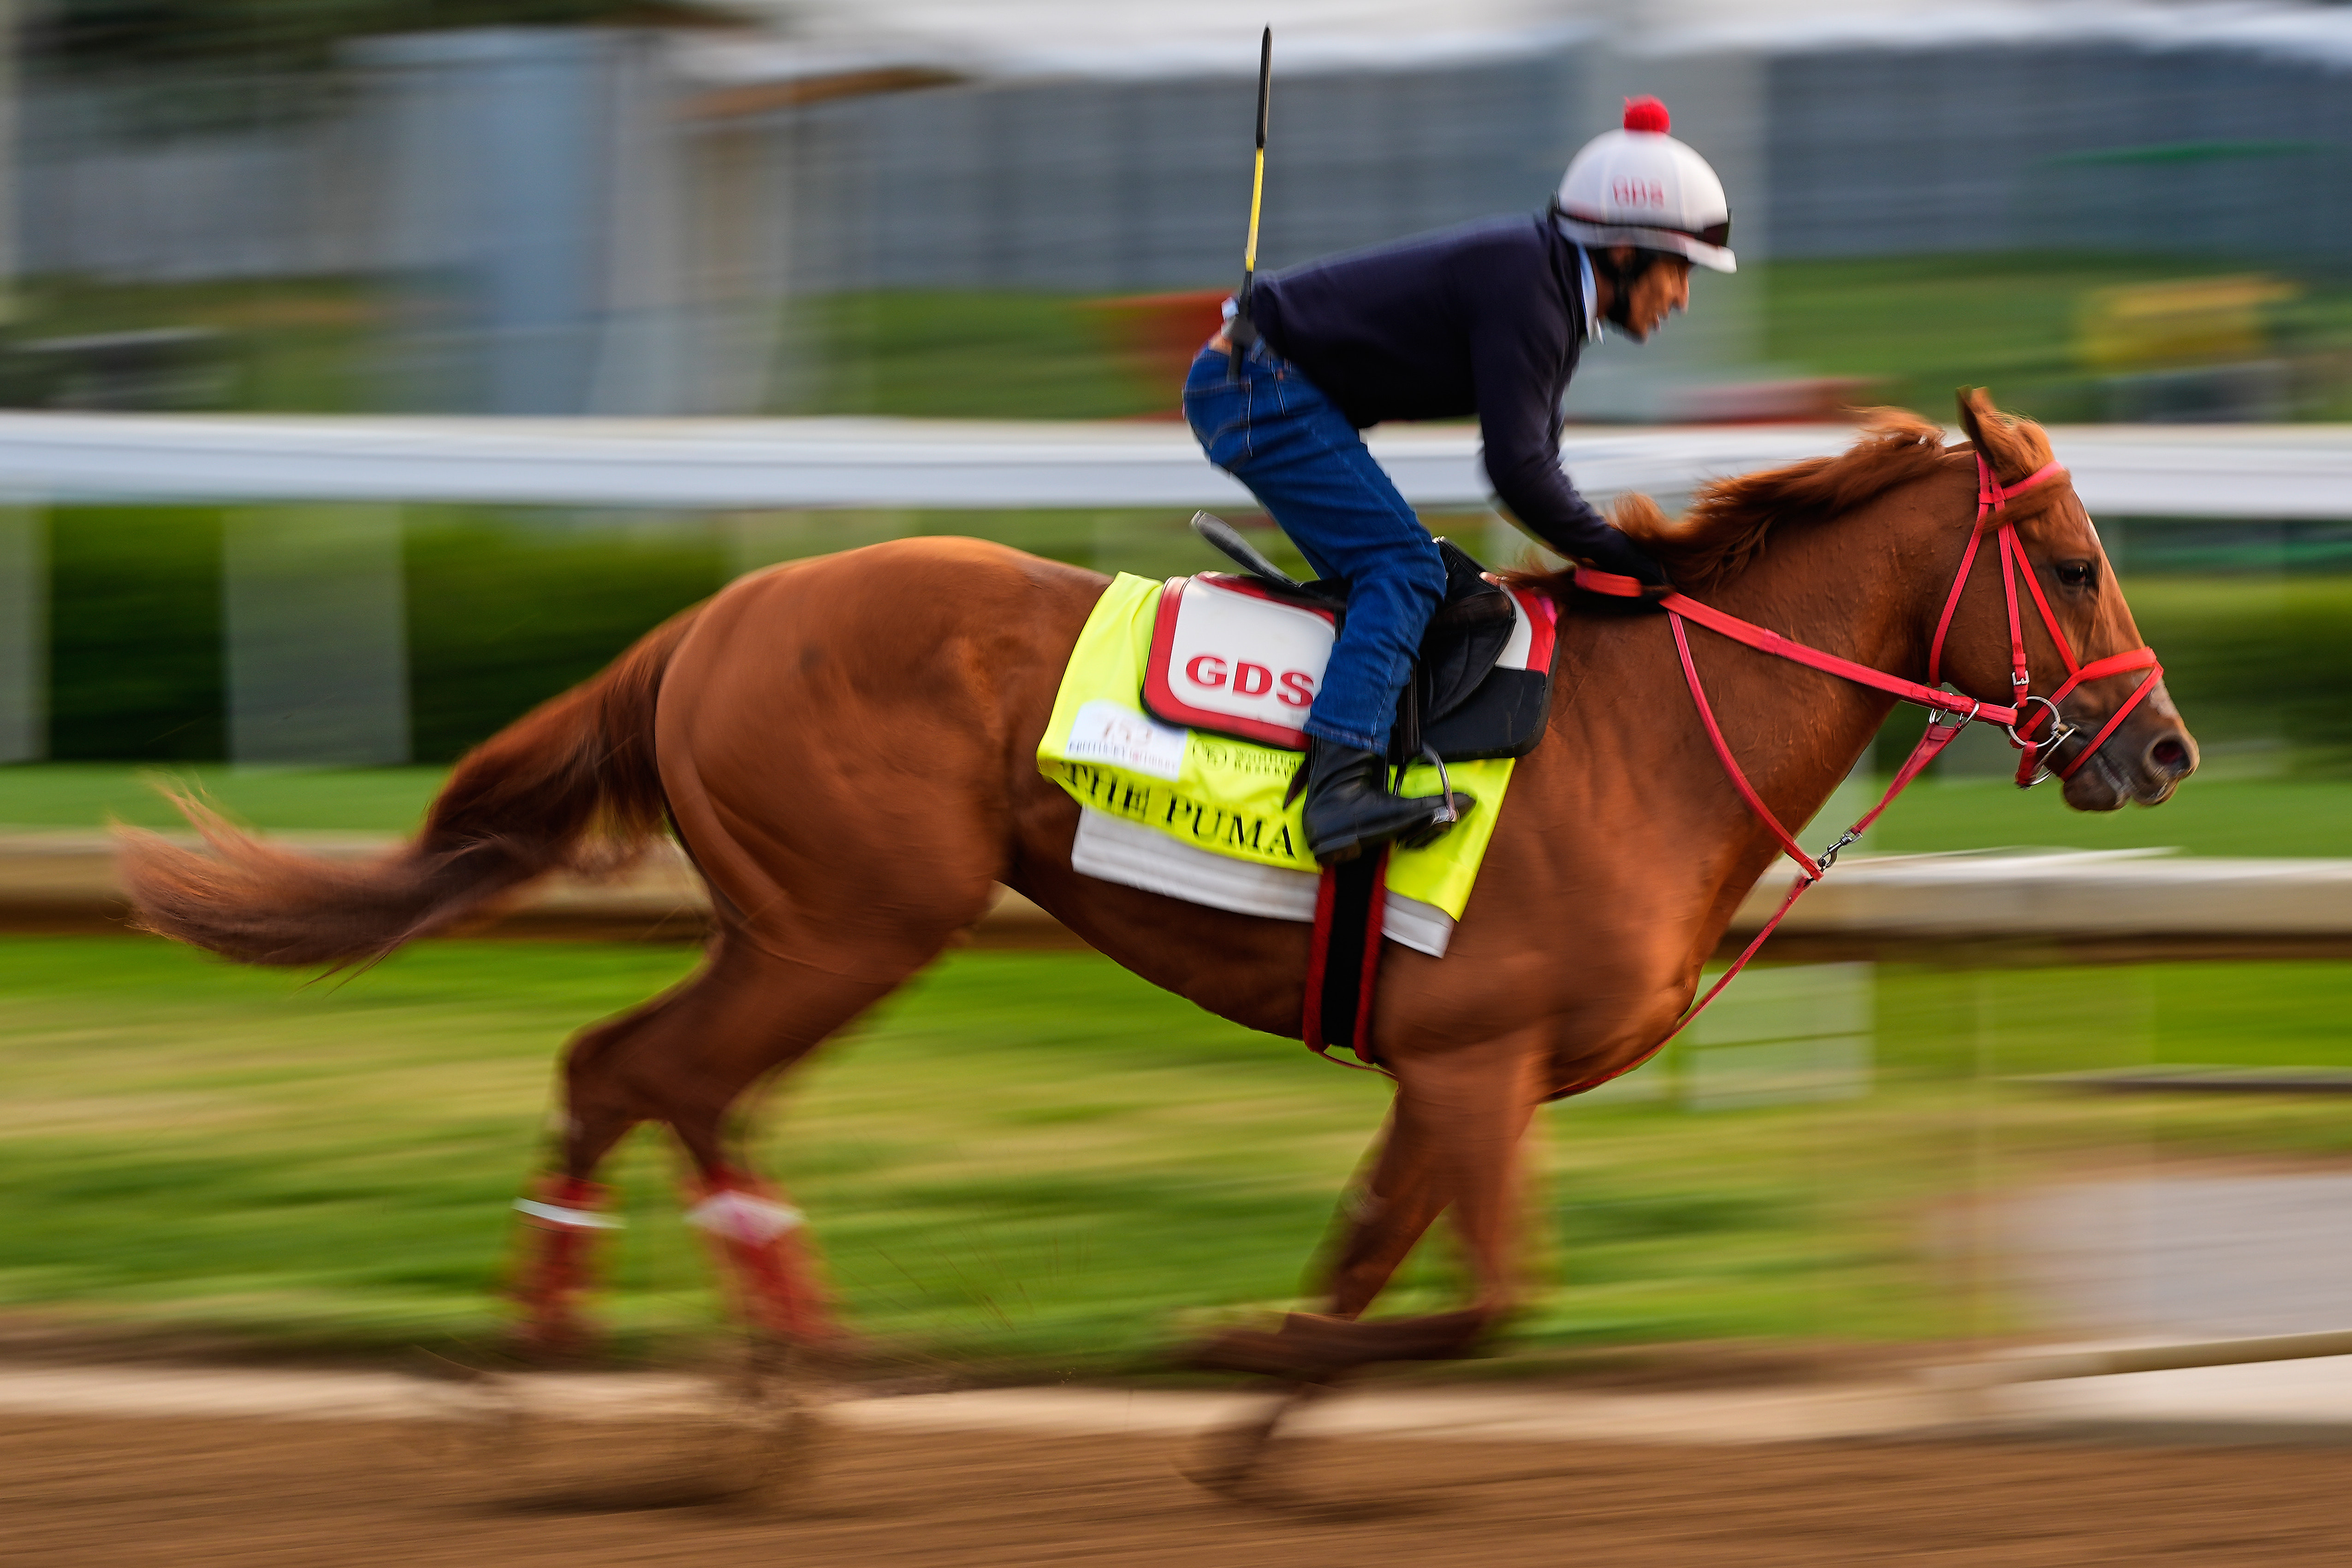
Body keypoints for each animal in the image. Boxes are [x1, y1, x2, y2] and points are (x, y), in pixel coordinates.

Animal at [120, 388, 2195, 1411]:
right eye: (2079, 564)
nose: (2162, 749)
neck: (1653, 732)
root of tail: (713, 615)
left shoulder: (1454, 1075)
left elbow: (1380, 1266)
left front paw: (1251, 1361)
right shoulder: (1475, 1059)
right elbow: (1480, 1299)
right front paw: (1230, 1351)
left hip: (795, 921)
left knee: (644, 1074)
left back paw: (715, 1339)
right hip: (852, 920)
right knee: (650, 1072)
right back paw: (644, 1351)